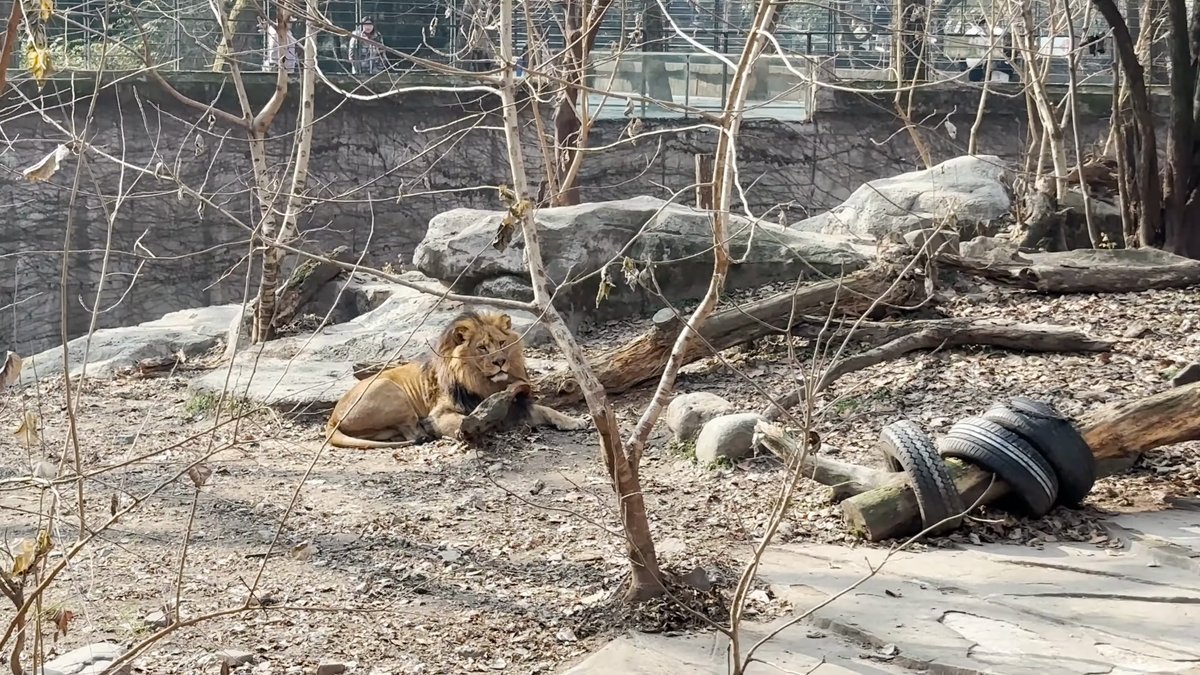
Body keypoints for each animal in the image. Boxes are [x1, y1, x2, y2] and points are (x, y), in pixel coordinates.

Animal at [324, 310, 589, 449]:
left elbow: (546, 409)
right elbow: (461, 420)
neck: (484, 383)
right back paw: (426, 433)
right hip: (390, 390)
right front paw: (471, 427)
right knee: (411, 430)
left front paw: (574, 421)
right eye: (482, 347)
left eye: (502, 343)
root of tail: (333, 416)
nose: (500, 361)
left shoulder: (517, 404)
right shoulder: (441, 411)